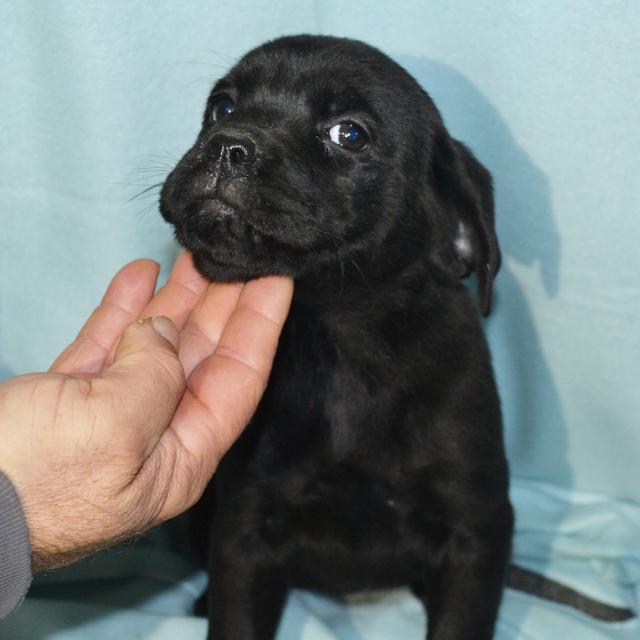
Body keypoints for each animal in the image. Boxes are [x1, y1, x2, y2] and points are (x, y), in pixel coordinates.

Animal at [161, 33, 516, 640]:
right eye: (222, 107)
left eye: (349, 134)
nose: (228, 146)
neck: (341, 340)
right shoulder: (245, 525)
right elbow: (236, 616)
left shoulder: (475, 530)